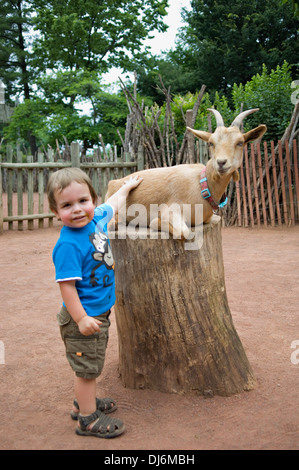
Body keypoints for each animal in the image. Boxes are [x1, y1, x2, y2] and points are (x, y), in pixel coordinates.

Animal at [106, 108, 268, 237]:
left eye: (240, 142)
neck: (202, 184)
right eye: (211, 143)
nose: (221, 162)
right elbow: (182, 231)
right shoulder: (172, 210)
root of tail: (112, 182)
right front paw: (155, 221)